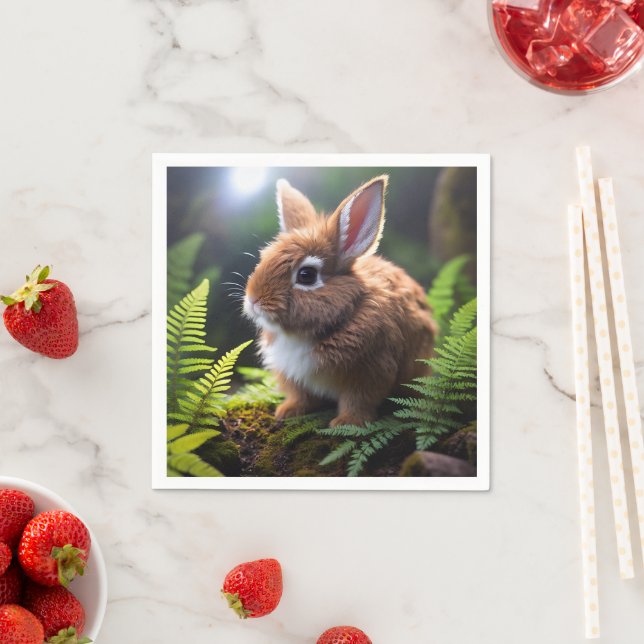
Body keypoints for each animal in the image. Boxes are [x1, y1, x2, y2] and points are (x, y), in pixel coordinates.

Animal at [243, 175, 438, 428]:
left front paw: (346, 423)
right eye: (264, 258)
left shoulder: (370, 370)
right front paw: (286, 411)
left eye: (306, 275)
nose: (253, 299)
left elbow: (358, 401)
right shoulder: (292, 375)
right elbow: (300, 396)